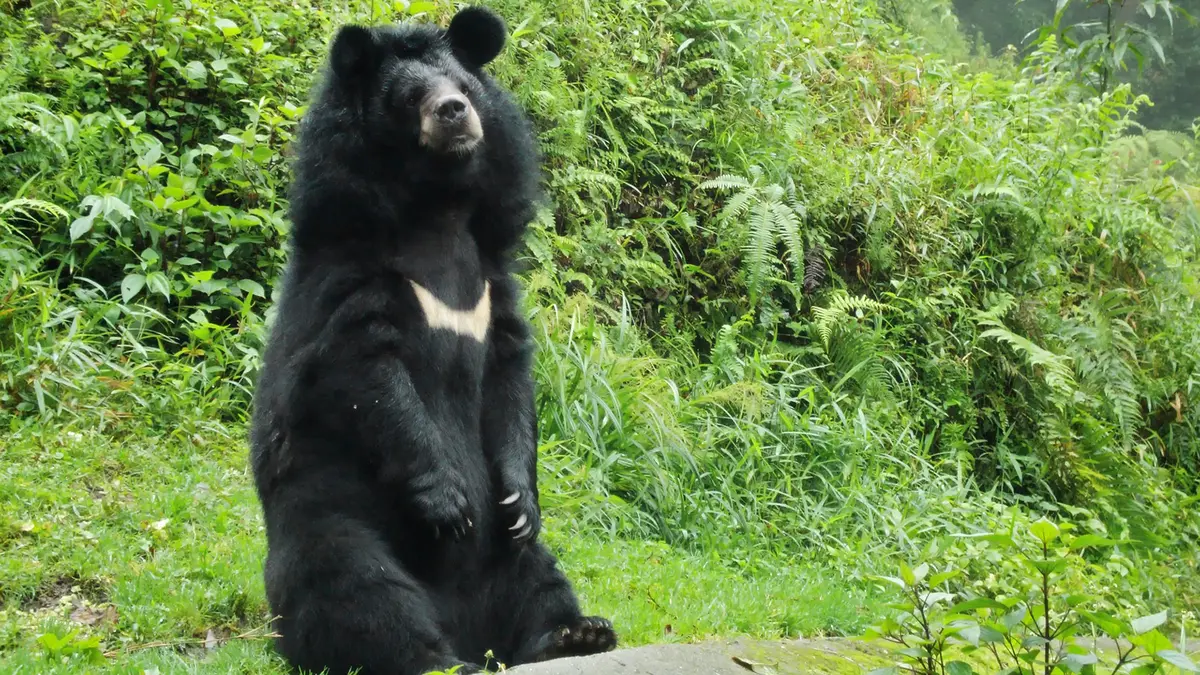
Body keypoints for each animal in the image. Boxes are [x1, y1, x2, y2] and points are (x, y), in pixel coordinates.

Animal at [247, 7, 618, 675]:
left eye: (464, 86)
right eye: (409, 96)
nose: (454, 111)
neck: (437, 208)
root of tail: (469, 629)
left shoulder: (494, 287)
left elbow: (509, 379)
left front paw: (519, 497)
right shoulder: (351, 278)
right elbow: (367, 373)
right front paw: (447, 501)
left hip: (514, 564)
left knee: (538, 576)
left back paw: (574, 635)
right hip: (334, 518)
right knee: (356, 590)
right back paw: (437, 658)